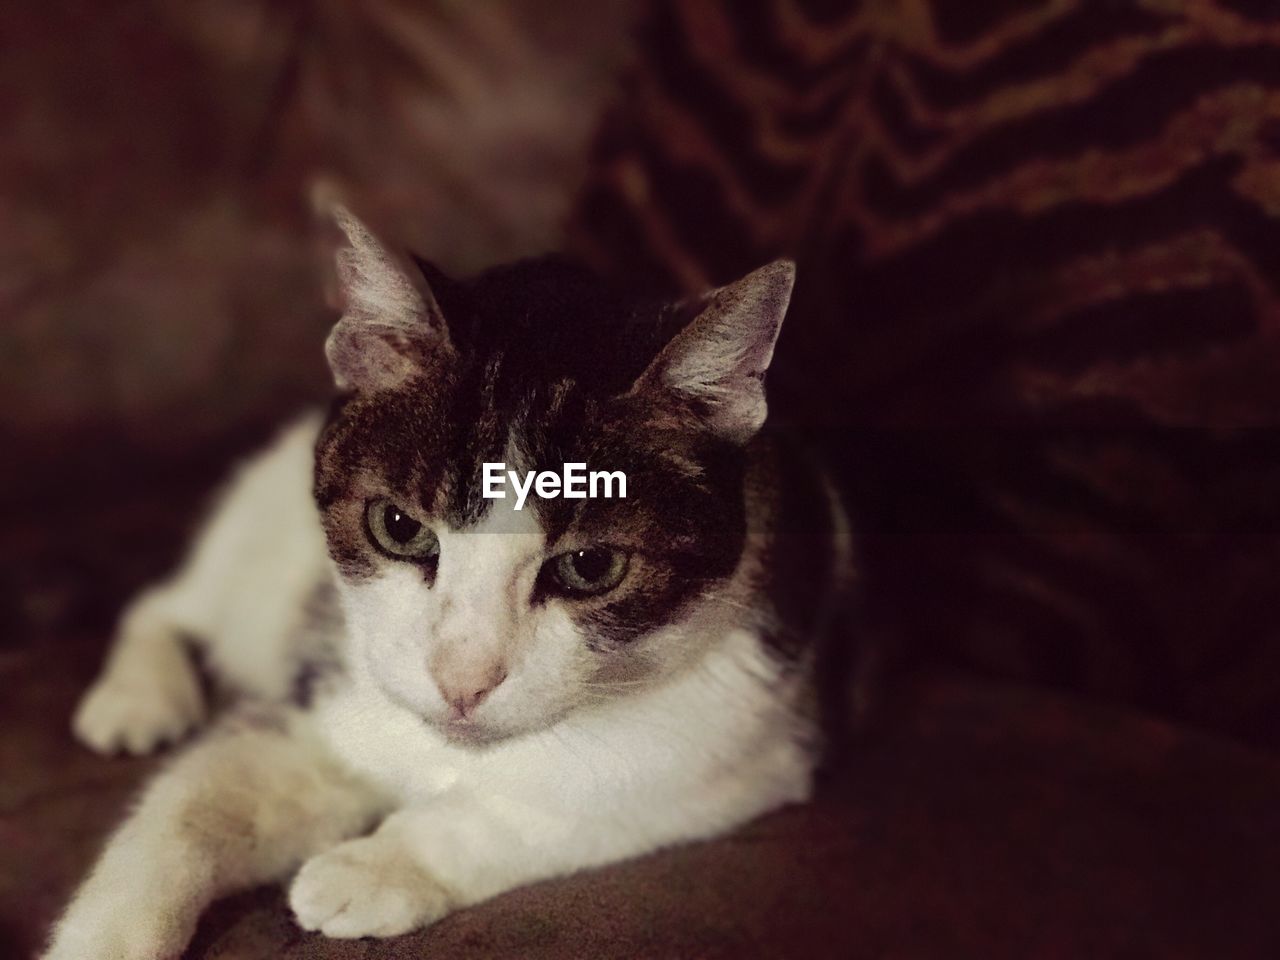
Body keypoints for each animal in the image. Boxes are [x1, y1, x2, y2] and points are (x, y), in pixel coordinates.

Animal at [45, 207, 855, 957]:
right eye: (399, 526)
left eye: (592, 566)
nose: (463, 679)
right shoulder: (328, 690)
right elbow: (195, 804)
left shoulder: (749, 747)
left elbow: (570, 806)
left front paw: (373, 867)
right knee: (171, 602)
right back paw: (138, 696)